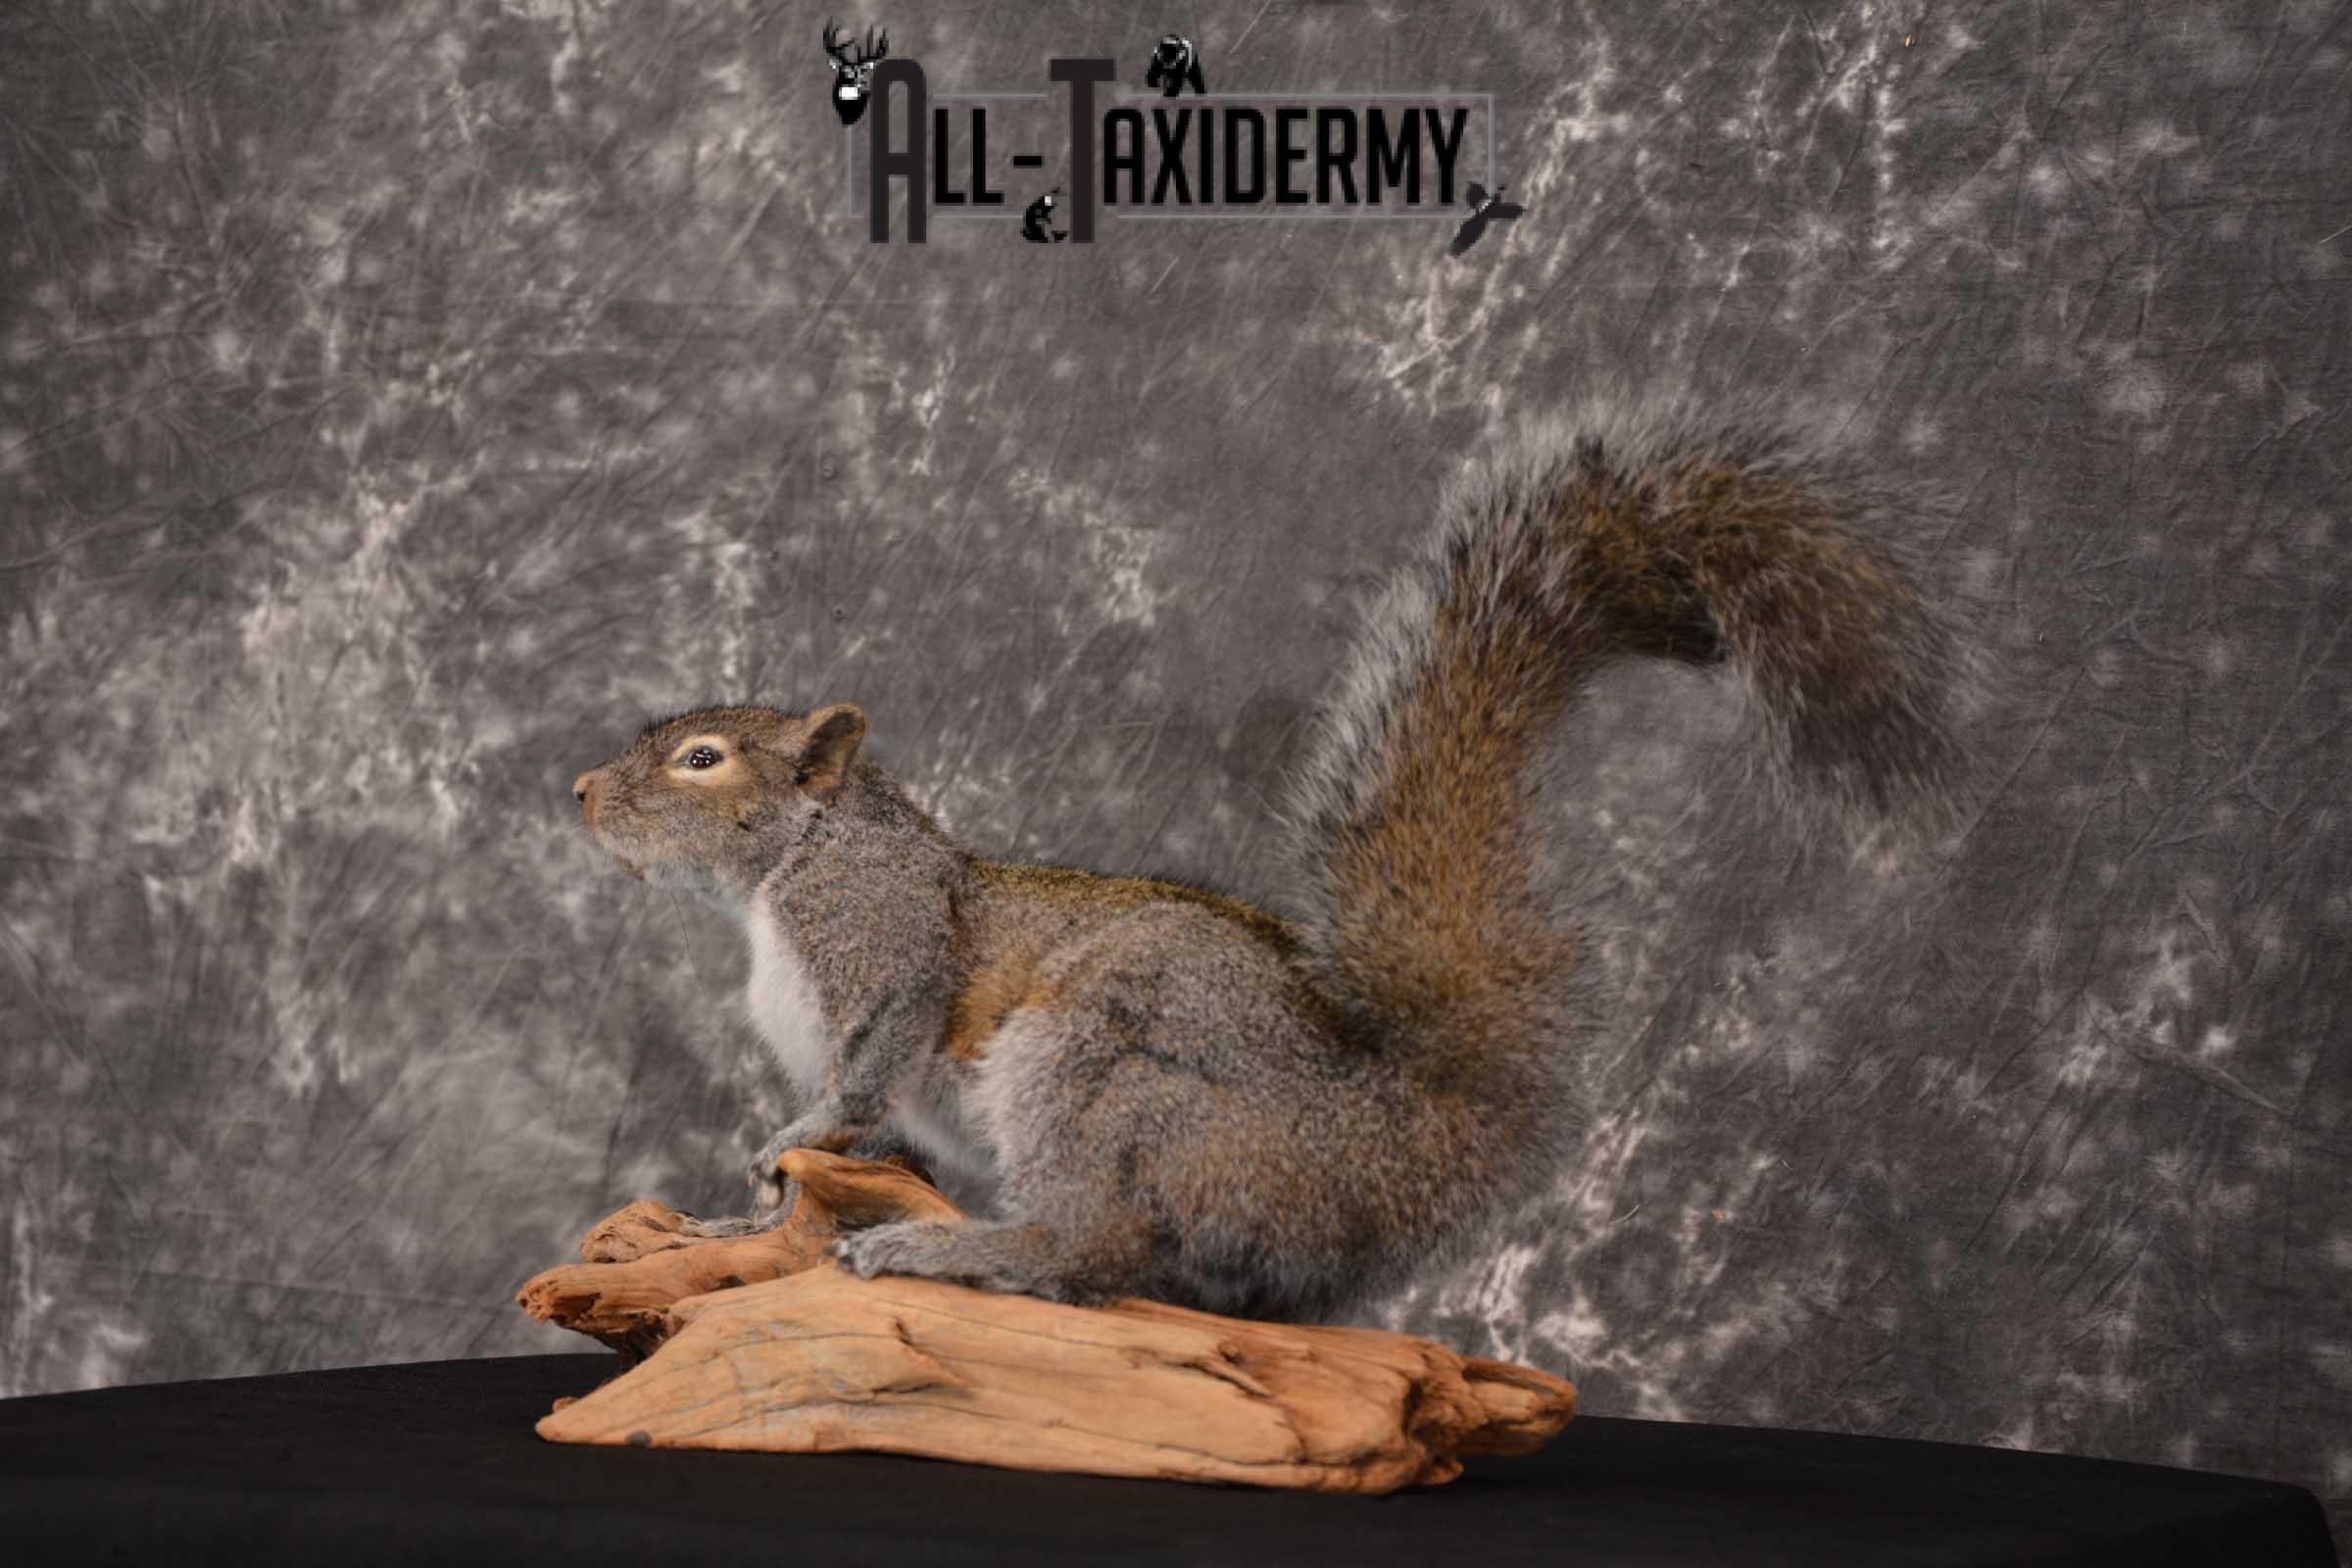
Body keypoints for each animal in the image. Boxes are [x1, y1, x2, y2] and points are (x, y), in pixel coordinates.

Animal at [569, 404, 1966, 1322]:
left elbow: (871, 1061)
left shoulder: (879, 937)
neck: (782, 875)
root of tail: (1392, 1145)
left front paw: (800, 1136)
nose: (579, 793)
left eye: (702, 760)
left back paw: (973, 1256)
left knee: (1098, 1250)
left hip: (1101, 1071)